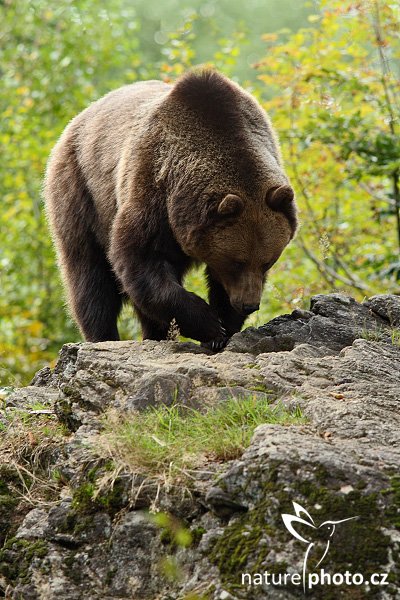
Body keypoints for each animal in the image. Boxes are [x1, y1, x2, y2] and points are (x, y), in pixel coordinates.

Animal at [45, 69, 298, 352]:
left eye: (268, 261)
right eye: (236, 261)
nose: (249, 304)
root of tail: (80, 117)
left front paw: (224, 327)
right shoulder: (153, 189)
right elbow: (139, 259)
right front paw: (209, 323)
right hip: (81, 191)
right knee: (91, 277)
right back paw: (103, 336)